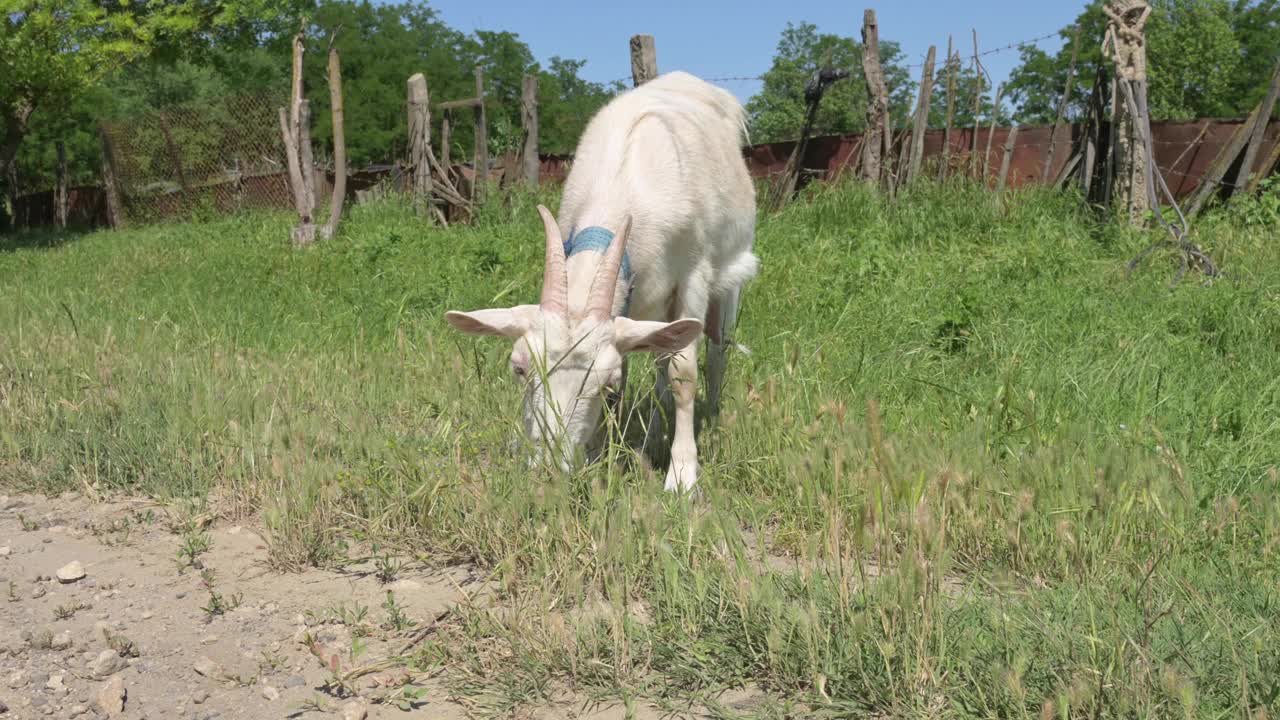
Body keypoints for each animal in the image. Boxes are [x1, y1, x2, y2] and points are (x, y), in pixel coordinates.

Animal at [445, 70, 752, 489]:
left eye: (609, 384)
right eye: (519, 368)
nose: (549, 471)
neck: (623, 186)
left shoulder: (694, 274)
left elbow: (684, 372)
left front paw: (683, 475)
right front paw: (600, 453)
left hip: (730, 269)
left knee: (717, 348)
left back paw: (713, 419)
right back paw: (653, 435)